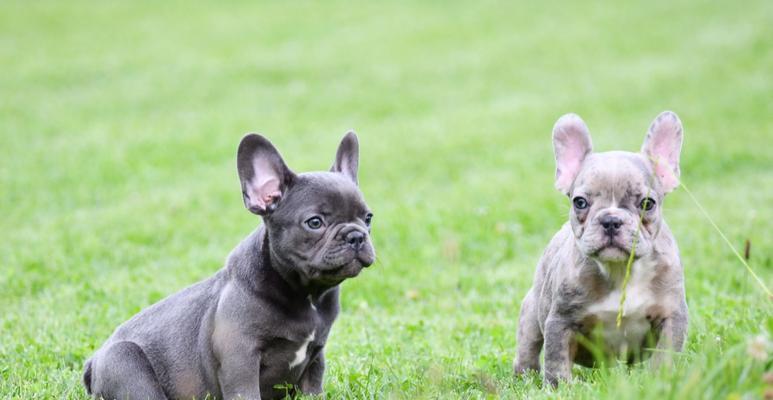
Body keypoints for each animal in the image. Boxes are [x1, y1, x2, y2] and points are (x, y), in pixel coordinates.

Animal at [83, 130, 376, 396]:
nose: (356, 236)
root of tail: (93, 362)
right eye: (315, 222)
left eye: (368, 218)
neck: (307, 294)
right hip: (127, 364)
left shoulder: (315, 359)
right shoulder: (240, 359)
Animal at [512, 111, 688, 386]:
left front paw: (661, 380)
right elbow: (556, 361)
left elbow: (664, 356)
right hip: (531, 313)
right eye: (580, 202)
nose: (611, 220)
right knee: (528, 346)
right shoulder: (560, 322)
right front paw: (560, 388)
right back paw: (525, 376)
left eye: (647, 203)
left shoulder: (671, 316)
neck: (620, 271)